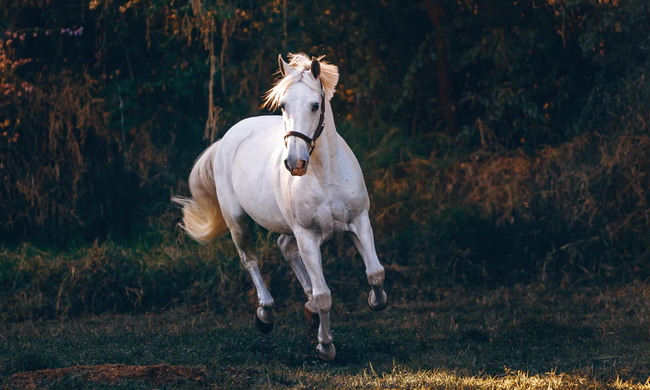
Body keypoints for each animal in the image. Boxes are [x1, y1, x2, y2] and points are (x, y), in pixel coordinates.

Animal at [172, 53, 384, 362]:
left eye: (315, 105)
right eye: (283, 105)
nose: (295, 163)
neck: (326, 174)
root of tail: (228, 138)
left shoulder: (359, 221)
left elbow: (375, 273)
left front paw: (374, 301)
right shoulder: (307, 235)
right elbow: (324, 295)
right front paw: (326, 347)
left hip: (288, 227)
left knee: (285, 248)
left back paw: (306, 308)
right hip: (238, 222)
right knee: (250, 260)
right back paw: (266, 314)